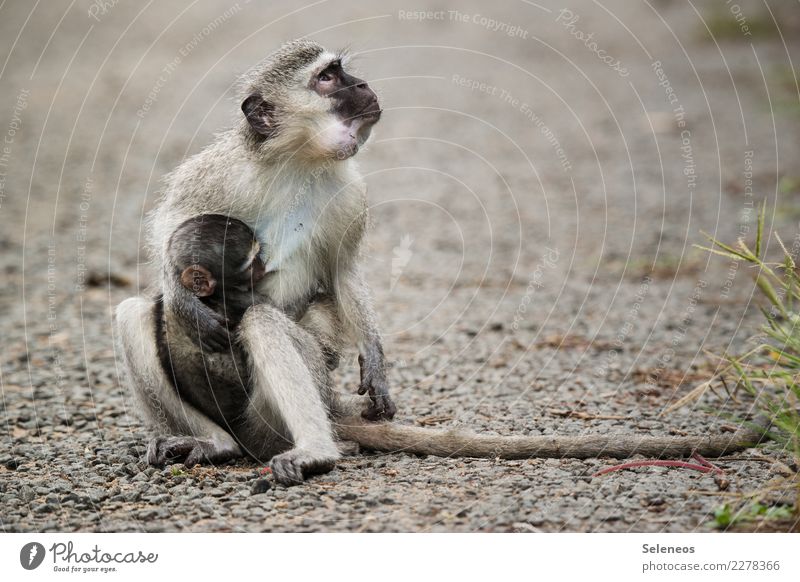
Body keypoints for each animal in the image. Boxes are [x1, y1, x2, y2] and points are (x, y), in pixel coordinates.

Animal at [115, 38, 764, 488]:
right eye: (327, 78)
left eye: (342, 71)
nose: (364, 84)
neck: (299, 162)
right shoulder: (222, 170)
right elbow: (169, 228)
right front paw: (185, 299)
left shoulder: (351, 195)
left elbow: (342, 273)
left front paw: (375, 362)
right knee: (135, 311)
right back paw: (211, 443)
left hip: (279, 408)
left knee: (264, 324)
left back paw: (312, 449)